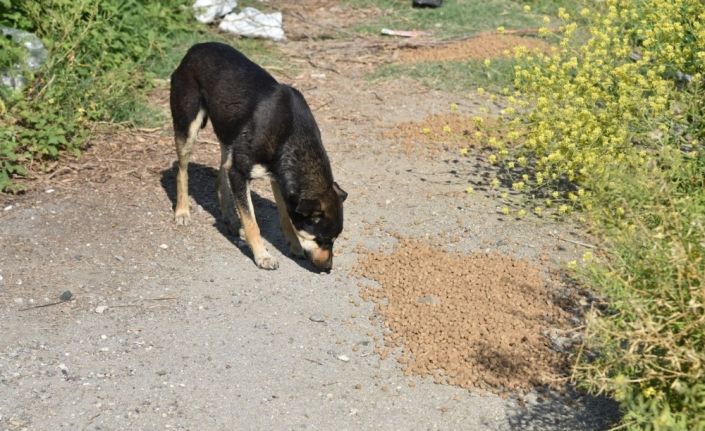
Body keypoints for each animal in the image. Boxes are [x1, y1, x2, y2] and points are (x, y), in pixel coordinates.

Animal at [170, 42, 346, 272]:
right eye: (322, 239)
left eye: (334, 240)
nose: (328, 268)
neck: (291, 135)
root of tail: (194, 49)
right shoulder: (240, 173)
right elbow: (252, 222)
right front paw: (262, 256)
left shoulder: (278, 178)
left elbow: (285, 216)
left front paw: (294, 245)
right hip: (188, 127)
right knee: (182, 171)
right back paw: (182, 211)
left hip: (228, 135)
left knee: (221, 173)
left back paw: (230, 218)